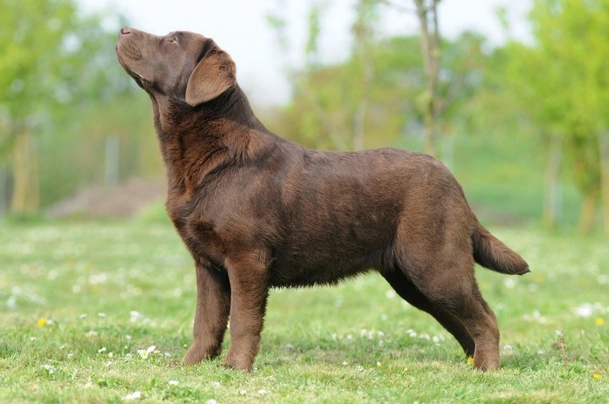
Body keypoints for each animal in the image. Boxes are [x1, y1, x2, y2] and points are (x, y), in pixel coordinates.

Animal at [114, 26, 528, 370]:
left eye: (172, 41)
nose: (122, 29)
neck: (210, 158)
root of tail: (453, 180)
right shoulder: (208, 264)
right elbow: (206, 322)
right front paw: (191, 365)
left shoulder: (248, 258)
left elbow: (244, 320)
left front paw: (235, 368)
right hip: (413, 280)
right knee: (463, 323)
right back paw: (472, 366)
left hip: (436, 266)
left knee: (486, 318)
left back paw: (487, 370)